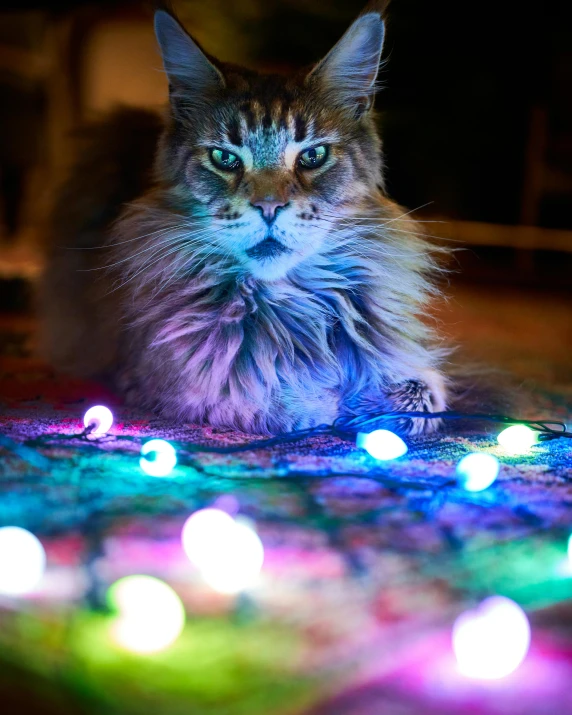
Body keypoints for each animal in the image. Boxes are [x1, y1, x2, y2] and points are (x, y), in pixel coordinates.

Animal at [42, 5, 450, 436]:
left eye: (313, 156)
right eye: (224, 158)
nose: (269, 207)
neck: (290, 303)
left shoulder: (411, 367)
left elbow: (420, 395)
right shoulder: (165, 379)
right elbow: (267, 396)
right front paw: (331, 407)